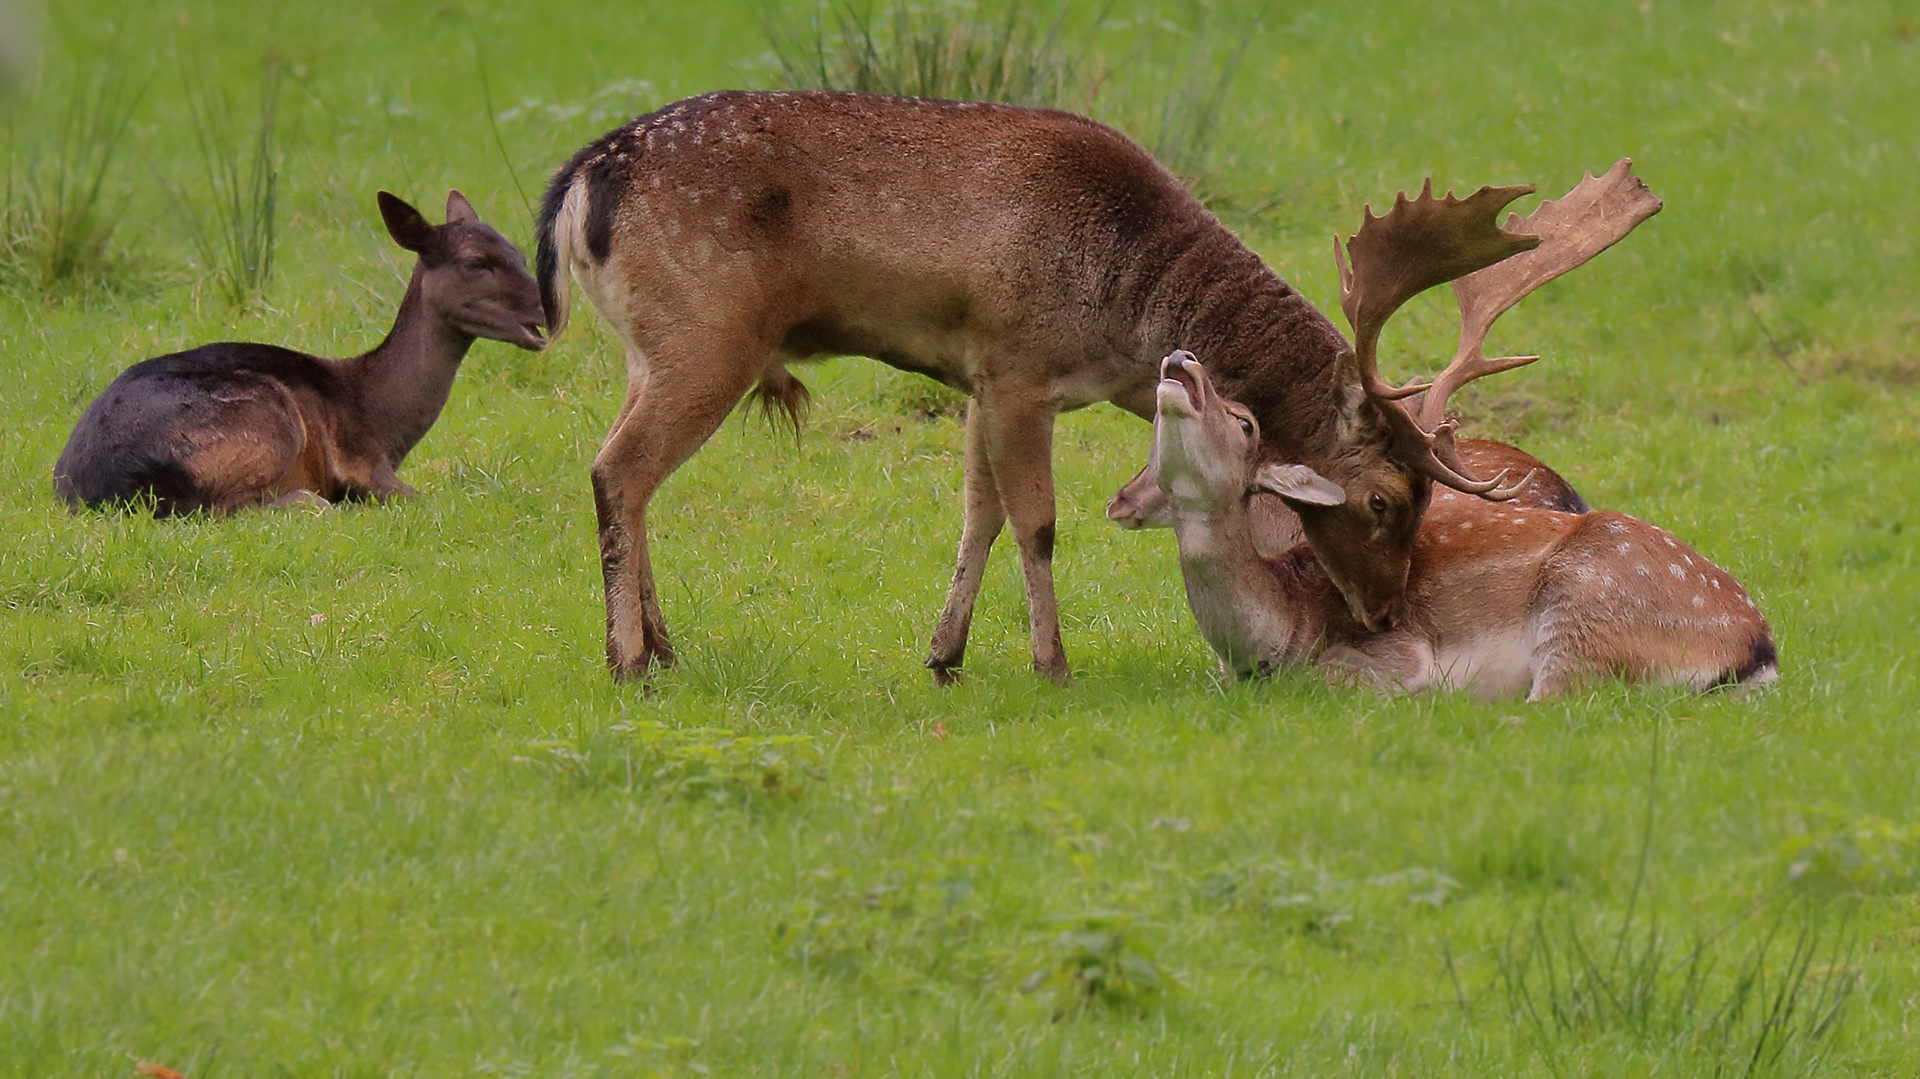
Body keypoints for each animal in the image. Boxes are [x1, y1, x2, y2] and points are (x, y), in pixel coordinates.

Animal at [54, 191, 549, 518]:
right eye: (475, 262)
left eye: (520, 253)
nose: (547, 307)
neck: (383, 421)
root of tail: (100, 488)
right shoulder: (363, 463)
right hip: (267, 418)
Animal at [537, 88, 1651, 683]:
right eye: (1384, 499)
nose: (1381, 614)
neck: (1124, 307)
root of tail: (581, 183)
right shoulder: (1017, 366)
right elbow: (1035, 520)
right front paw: (1052, 661)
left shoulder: (979, 377)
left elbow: (978, 513)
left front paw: (944, 653)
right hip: (705, 331)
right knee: (616, 470)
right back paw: (625, 657)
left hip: (654, 346)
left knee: (634, 478)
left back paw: (664, 644)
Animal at [1144, 349, 1774, 691]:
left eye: (1245, 421)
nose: (1181, 359)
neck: (1275, 636)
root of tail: (1758, 648)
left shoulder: (1398, 653)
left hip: (1588, 607)